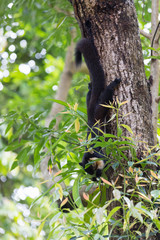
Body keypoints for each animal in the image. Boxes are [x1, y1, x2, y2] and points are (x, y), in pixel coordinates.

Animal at [75, 39, 120, 178]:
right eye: (90, 174)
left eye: (93, 168)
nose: (95, 179)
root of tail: (90, 116)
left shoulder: (99, 153)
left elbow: (105, 159)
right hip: (90, 99)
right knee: (90, 93)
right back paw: (90, 86)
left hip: (101, 107)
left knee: (106, 93)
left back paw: (114, 83)